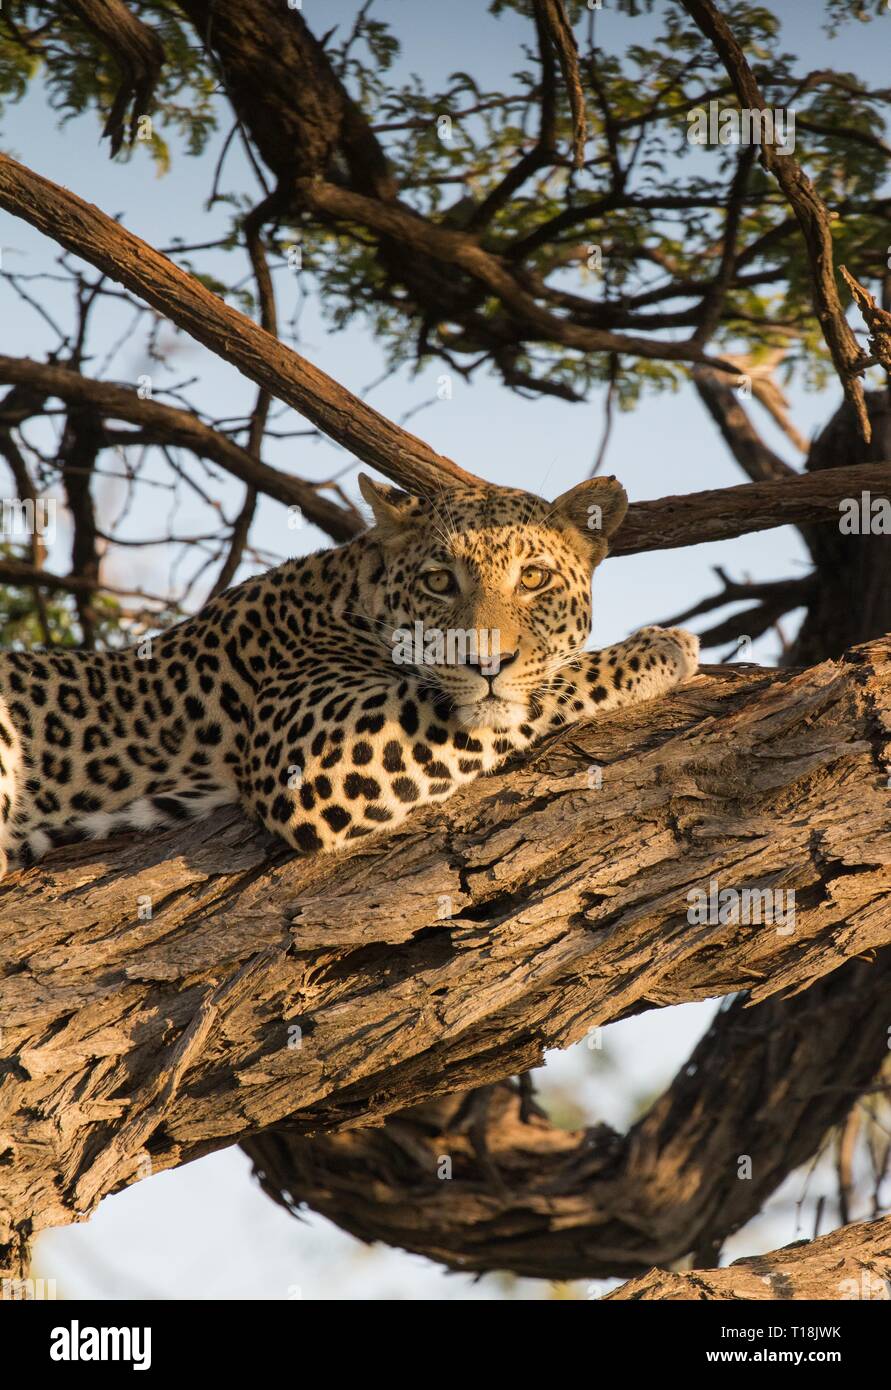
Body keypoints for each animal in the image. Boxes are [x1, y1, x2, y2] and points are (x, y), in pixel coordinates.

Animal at [0, 472, 697, 872]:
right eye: (439, 582)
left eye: (533, 578)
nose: (486, 661)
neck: (348, 593)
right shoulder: (313, 754)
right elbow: (543, 690)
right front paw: (660, 650)